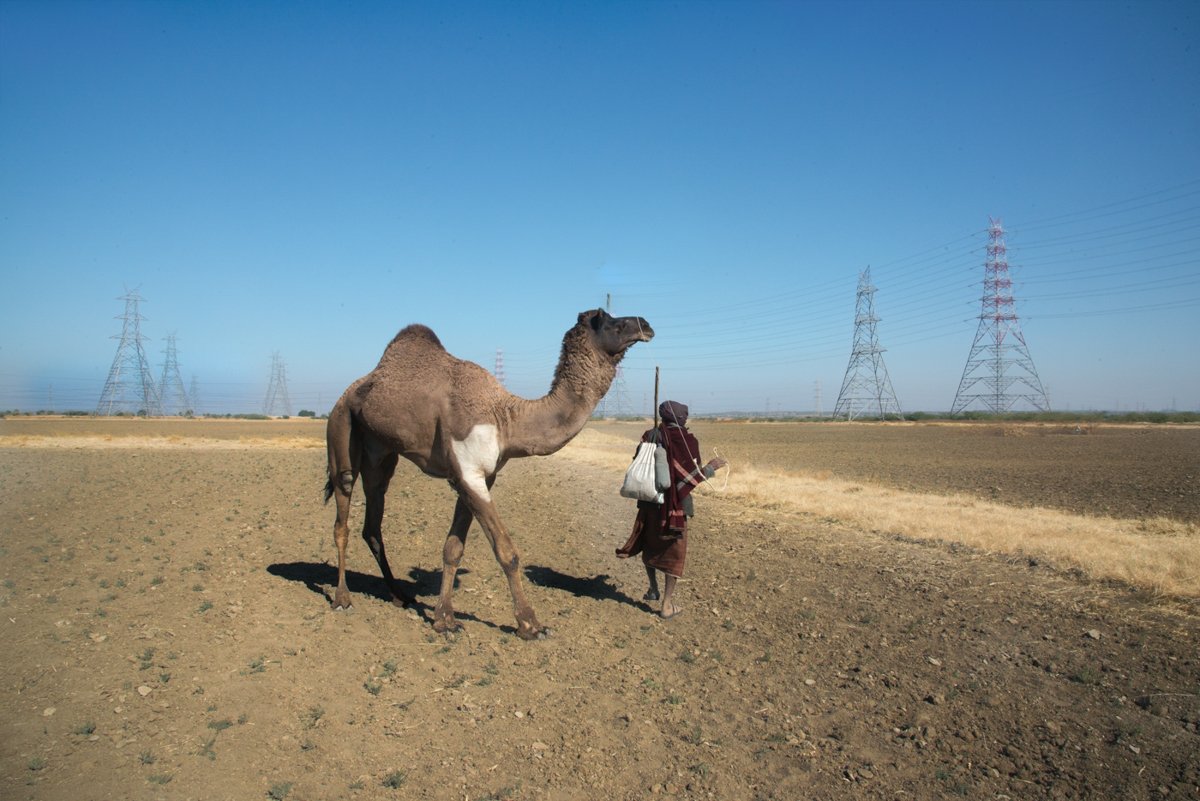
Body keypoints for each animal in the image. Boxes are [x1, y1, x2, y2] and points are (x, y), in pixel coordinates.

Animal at [324, 309, 652, 642]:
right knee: (342, 514)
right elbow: (506, 551)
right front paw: (530, 625)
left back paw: (399, 595)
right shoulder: (469, 473)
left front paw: (444, 619)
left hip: (381, 453)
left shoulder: (479, 476)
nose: (646, 325)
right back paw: (342, 599)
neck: (506, 418)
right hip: (340, 427)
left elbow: (453, 548)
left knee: (373, 520)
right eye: (611, 321)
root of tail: (349, 393)